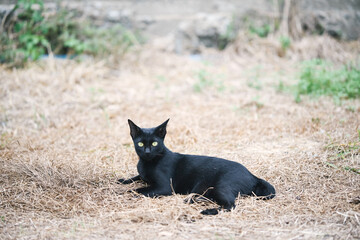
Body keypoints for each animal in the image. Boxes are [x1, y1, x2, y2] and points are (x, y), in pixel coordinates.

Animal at [118, 119, 276, 215]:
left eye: (155, 143)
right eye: (140, 144)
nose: (147, 152)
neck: (147, 162)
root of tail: (253, 175)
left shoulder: (164, 187)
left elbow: (138, 190)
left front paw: (122, 192)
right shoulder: (143, 175)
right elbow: (136, 177)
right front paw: (123, 180)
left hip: (220, 186)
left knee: (230, 205)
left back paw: (206, 211)